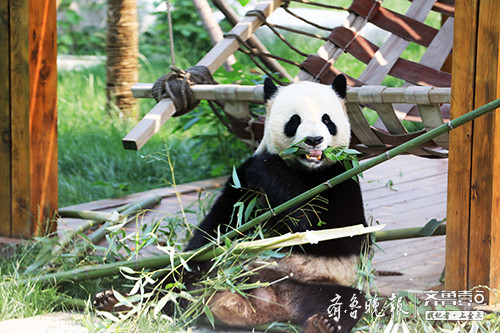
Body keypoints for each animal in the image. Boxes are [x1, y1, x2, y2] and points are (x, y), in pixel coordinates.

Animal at [94, 74, 368, 330]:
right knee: (174, 282)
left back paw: (324, 323)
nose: (313, 140)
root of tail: (266, 303)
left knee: (347, 300)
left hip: (317, 284)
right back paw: (118, 302)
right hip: (208, 275)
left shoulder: (343, 178)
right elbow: (216, 227)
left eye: (327, 120)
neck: (306, 170)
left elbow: (324, 228)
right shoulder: (241, 186)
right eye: (294, 120)